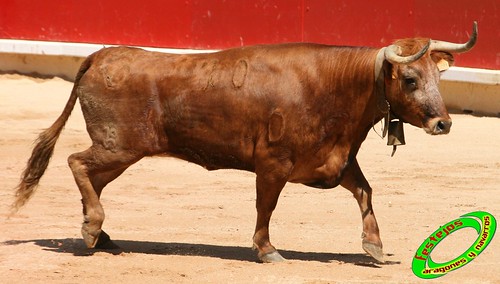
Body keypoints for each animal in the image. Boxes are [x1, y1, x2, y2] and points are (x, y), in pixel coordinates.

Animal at [11, 22, 476, 264]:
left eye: (438, 78)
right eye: (411, 79)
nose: (443, 123)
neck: (335, 85)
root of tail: (100, 55)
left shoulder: (335, 161)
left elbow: (365, 191)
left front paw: (375, 247)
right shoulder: (273, 164)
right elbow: (266, 205)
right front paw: (267, 251)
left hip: (120, 153)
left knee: (92, 177)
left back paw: (101, 235)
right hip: (118, 146)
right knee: (77, 163)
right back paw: (92, 229)